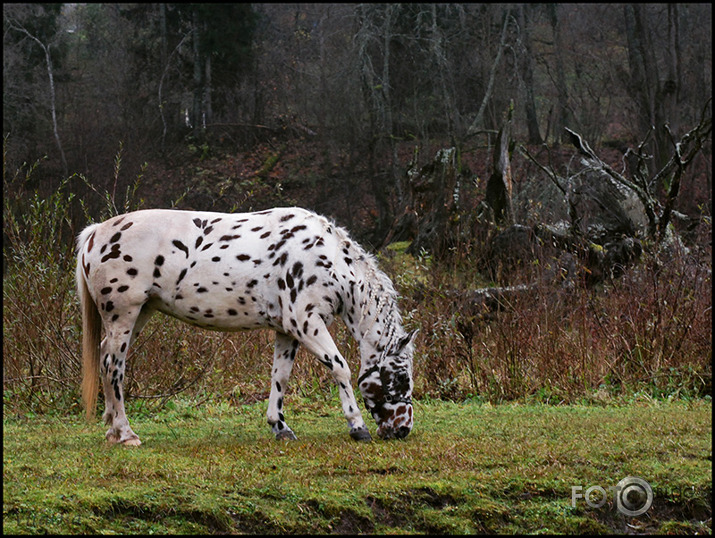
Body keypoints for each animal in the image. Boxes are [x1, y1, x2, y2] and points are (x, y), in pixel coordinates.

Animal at [75, 205, 416, 444]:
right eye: (400, 378)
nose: (402, 429)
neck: (326, 258)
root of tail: (95, 232)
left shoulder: (287, 330)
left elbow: (281, 377)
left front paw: (280, 427)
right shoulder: (307, 323)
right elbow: (340, 367)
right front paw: (357, 426)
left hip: (139, 314)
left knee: (106, 359)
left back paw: (112, 430)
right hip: (124, 314)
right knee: (113, 365)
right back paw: (126, 433)